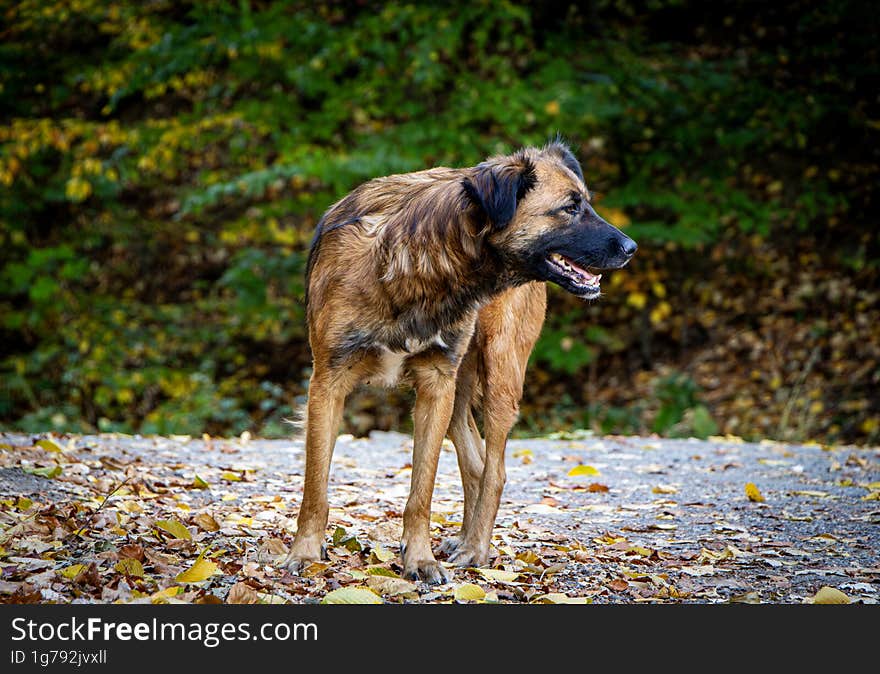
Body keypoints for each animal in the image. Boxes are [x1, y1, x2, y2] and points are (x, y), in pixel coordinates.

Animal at [286, 139, 636, 580]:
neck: (422, 261)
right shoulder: (327, 384)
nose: (632, 248)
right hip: (460, 393)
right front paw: (305, 552)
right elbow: (315, 485)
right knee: (476, 464)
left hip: (500, 372)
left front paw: (418, 559)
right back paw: (466, 540)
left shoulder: (436, 386)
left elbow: (421, 493)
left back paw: (476, 549)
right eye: (570, 208)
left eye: (585, 203)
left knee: (495, 470)